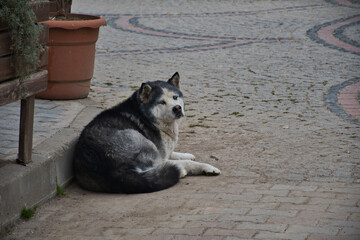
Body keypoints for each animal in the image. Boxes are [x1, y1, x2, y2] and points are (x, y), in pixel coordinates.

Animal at [73, 72, 219, 193]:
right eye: (161, 102)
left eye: (175, 97)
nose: (177, 108)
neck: (147, 116)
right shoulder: (159, 152)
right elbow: (178, 160)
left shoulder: (164, 150)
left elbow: (174, 153)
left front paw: (185, 154)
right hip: (140, 139)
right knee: (163, 166)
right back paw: (188, 170)